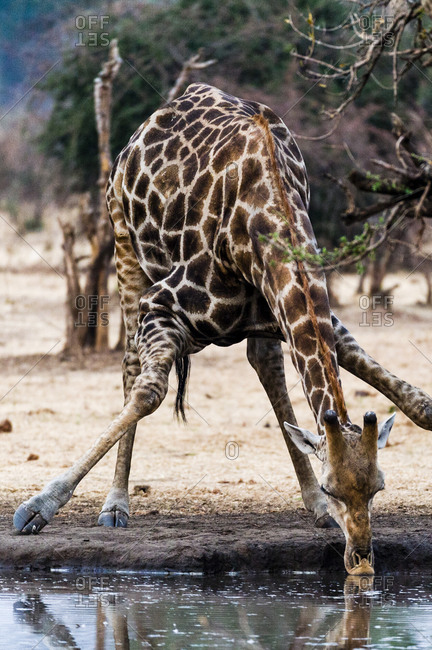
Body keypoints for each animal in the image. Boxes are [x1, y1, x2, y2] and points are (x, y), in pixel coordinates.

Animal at [12, 82, 432, 572]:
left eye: (379, 486)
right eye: (334, 485)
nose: (361, 559)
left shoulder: (290, 309)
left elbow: (409, 397)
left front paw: (321, 505)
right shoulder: (163, 304)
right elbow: (149, 392)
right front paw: (37, 507)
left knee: (264, 363)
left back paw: (312, 508)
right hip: (123, 242)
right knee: (132, 364)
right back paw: (115, 505)